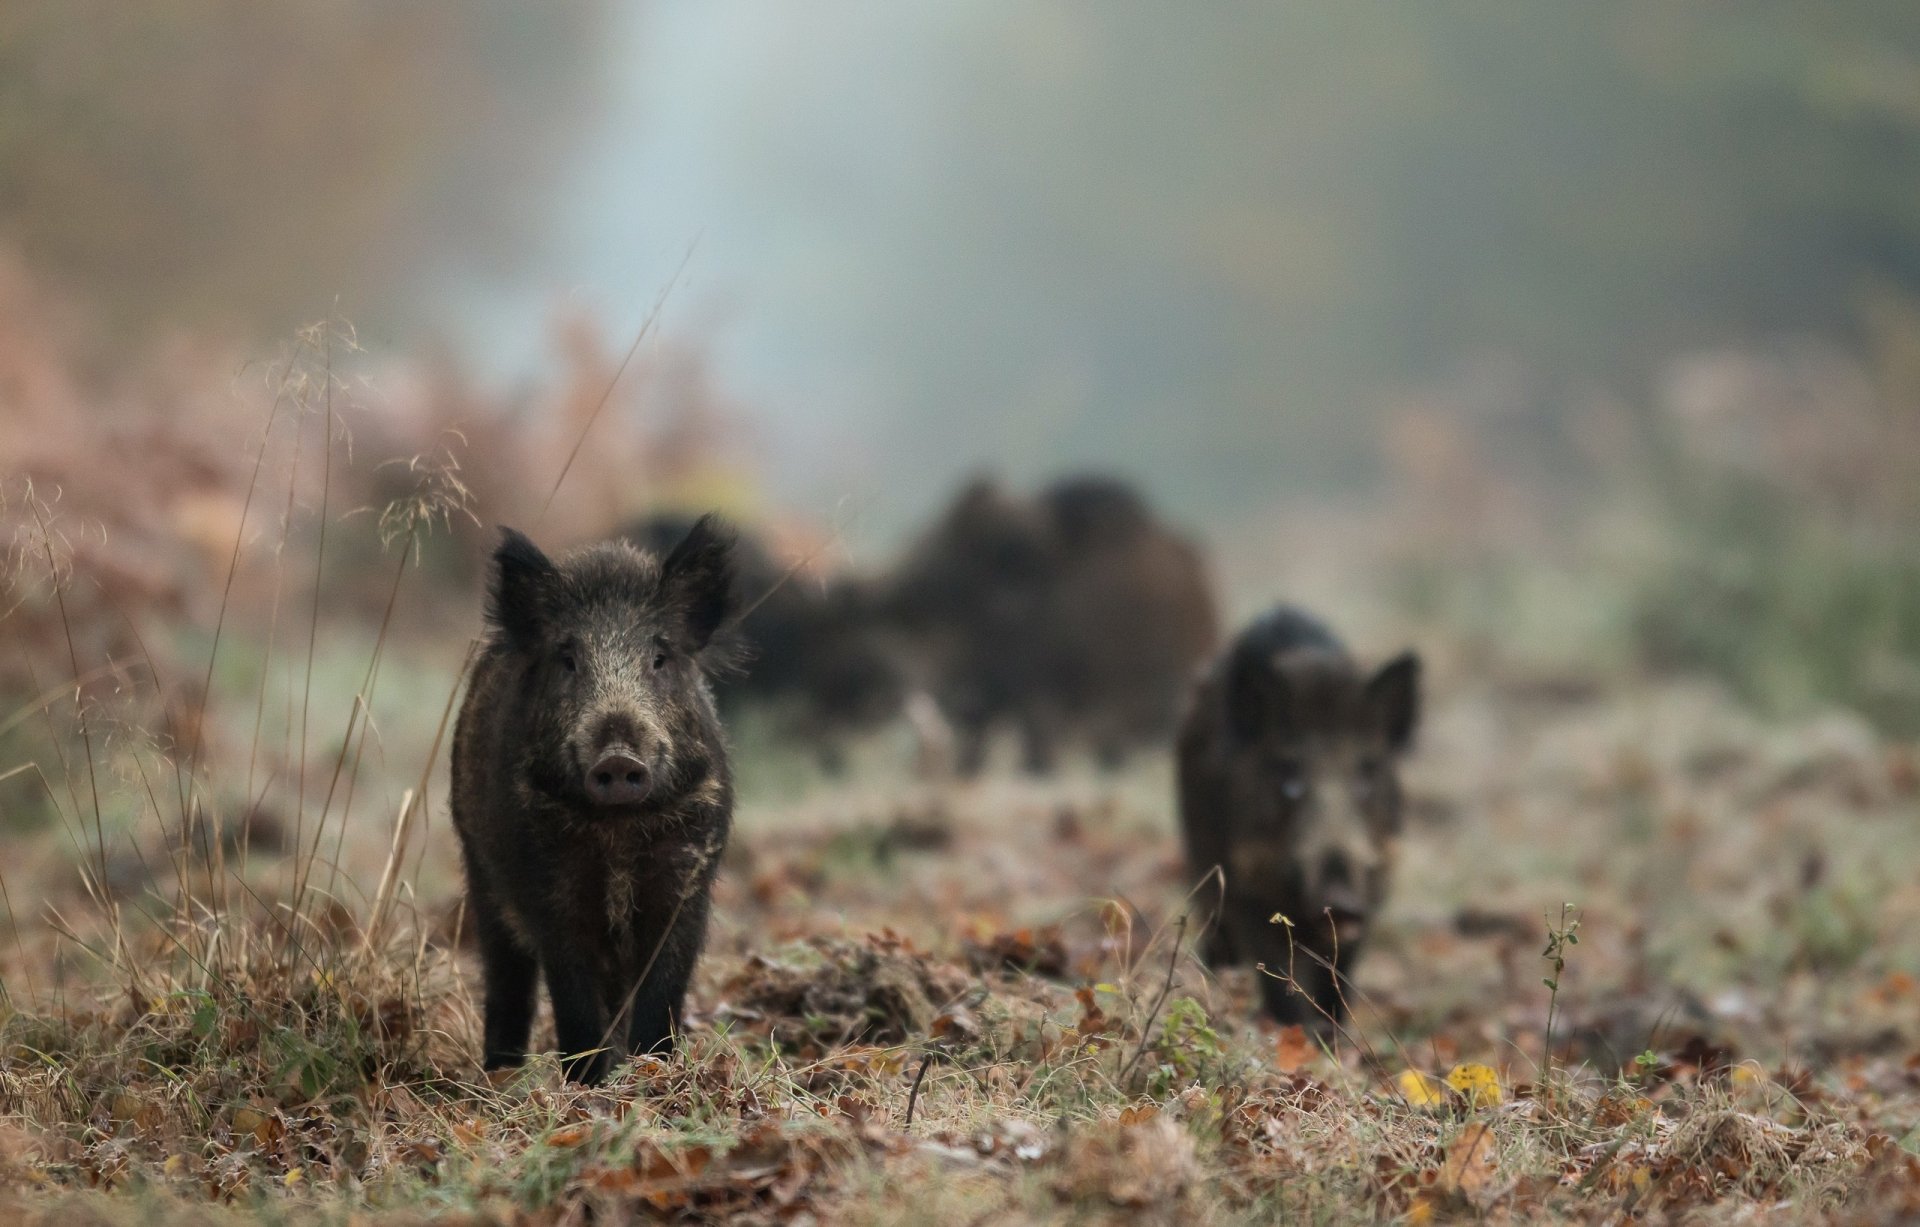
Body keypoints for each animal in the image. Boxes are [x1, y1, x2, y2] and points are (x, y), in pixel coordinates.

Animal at [450, 516, 737, 1083]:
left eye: (659, 658)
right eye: (568, 659)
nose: (619, 759)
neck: (617, 834)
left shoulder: (686, 878)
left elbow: (662, 989)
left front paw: (652, 1072)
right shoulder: (548, 885)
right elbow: (573, 996)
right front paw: (586, 1083)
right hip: (480, 871)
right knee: (507, 979)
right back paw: (501, 1074)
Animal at [1176, 607, 1419, 1028]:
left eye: (1367, 771)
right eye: (1288, 773)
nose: (1339, 899)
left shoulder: (1372, 894)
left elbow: (1336, 985)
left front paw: (1330, 1037)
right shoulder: (1246, 894)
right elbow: (1277, 982)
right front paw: (1293, 1032)